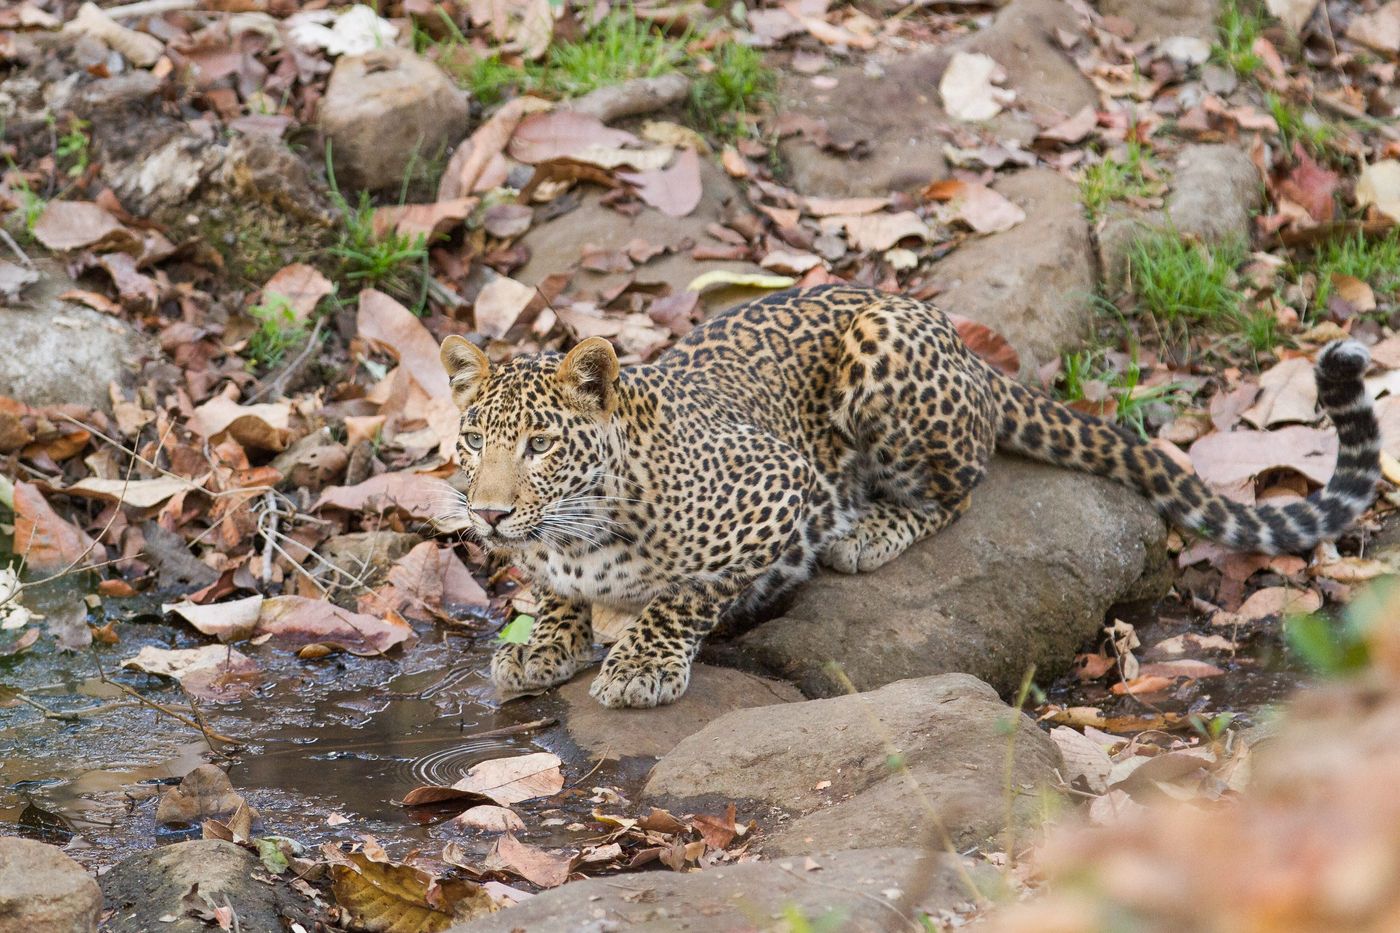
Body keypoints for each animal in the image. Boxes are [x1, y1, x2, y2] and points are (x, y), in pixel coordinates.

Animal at [436, 282, 1377, 706]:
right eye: (474, 440)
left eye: (540, 445)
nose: (486, 513)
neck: (577, 530)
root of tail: (963, 346)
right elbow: (555, 594)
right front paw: (541, 644)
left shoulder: (780, 489)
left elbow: (686, 592)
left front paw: (640, 662)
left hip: (883, 359)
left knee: (958, 489)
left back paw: (870, 529)